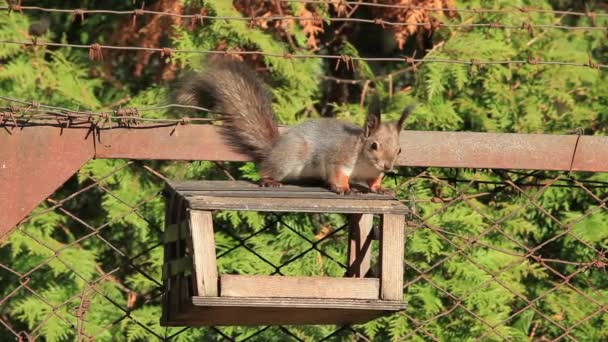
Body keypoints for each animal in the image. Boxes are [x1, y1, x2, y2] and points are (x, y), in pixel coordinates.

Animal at [173, 57, 416, 194]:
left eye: (400, 149)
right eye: (373, 145)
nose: (388, 167)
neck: (364, 162)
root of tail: (274, 149)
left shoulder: (373, 172)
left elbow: (374, 181)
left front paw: (380, 187)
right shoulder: (339, 158)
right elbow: (337, 173)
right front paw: (343, 188)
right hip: (289, 158)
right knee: (267, 169)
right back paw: (269, 180)